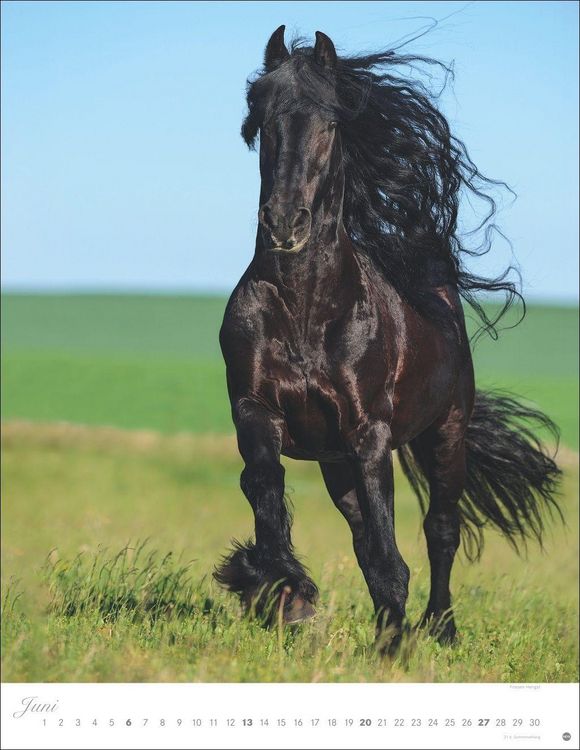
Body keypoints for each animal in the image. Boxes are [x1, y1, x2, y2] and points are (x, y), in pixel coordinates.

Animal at [214, 26, 562, 654]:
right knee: (360, 530)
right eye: (263, 122)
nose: (285, 223)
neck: (307, 310)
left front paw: (392, 642)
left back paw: (440, 628)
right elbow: (267, 491)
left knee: (441, 530)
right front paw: (280, 592)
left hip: (445, 433)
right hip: (336, 463)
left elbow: (388, 548)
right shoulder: (256, 411)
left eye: (330, 125)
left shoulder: (368, 433)